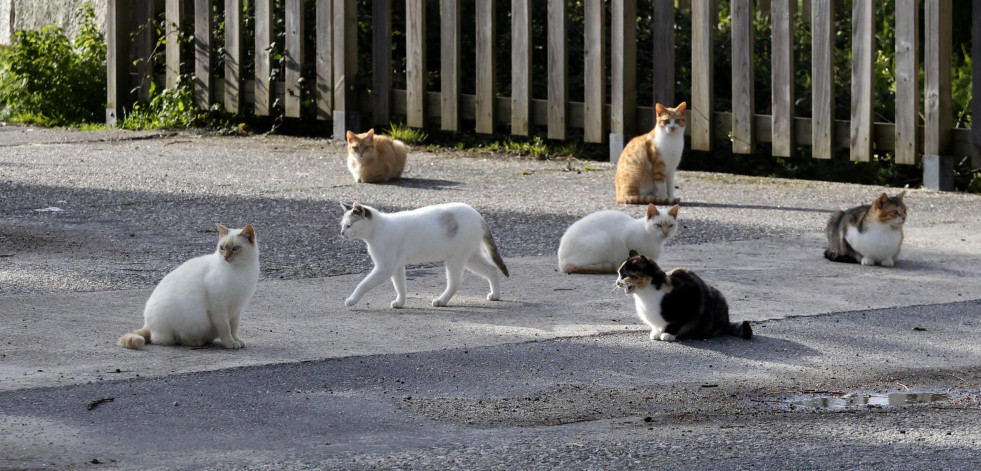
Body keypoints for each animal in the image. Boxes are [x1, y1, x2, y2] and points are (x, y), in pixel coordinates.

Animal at [117, 225, 260, 350]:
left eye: (235, 249)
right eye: (222, 248)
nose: (225, 257)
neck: (239, 270)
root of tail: (147, 324)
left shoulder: (237, 308)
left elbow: (234, 329)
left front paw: (237, 340)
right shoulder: (219, 308)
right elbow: (226, 330)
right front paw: (231, 343)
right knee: (171, 339)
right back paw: (196, 342)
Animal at [338, 201, 510, 308]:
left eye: (349, 225)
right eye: (342, 225)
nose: (341, 233)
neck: (377, 230)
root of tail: (478, 215)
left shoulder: (385, 268)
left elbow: (363, 284)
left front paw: (352, 300)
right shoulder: (397, 267)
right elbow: (400, 286)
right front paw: (400, 302)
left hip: (455, 259)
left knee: (455, 283)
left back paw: (441, 301)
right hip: (471, 257)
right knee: (491, 269)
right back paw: (496, 295)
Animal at [612, 251, 752, 342]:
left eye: (626, 275)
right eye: (619, 273)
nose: (617, 282)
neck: (646, 295)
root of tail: (726, 321)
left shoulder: (692, 299)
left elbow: (678, 322)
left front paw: (668, 334)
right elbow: (655, 325)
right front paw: (656, 332)